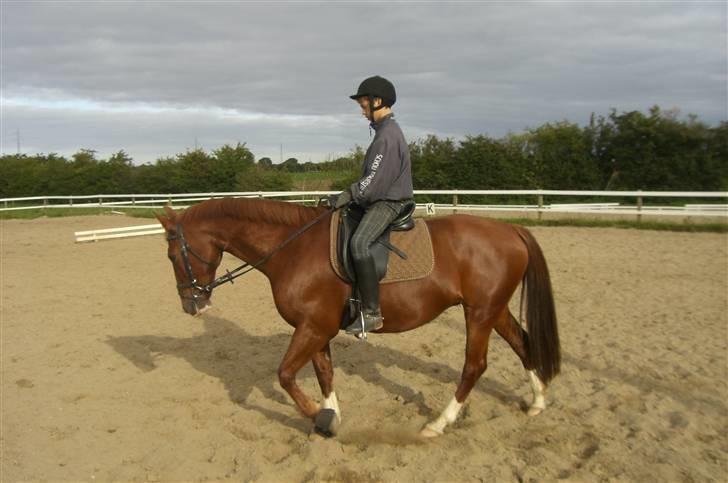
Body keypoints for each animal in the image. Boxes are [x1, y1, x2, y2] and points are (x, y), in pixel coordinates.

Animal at [155, 197, 564, 438]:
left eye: (174, 255)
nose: (191, 305)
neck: (294, 248)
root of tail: (511, 229)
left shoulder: (313, 327)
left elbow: (285, 375)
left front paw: (318, 417)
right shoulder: (315, 328)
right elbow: (324, 374)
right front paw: (330, 416)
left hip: (479, 313)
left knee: (474, 365)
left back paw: (438, 423)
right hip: (492, 308)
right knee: (522, 342)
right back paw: (537, 402)